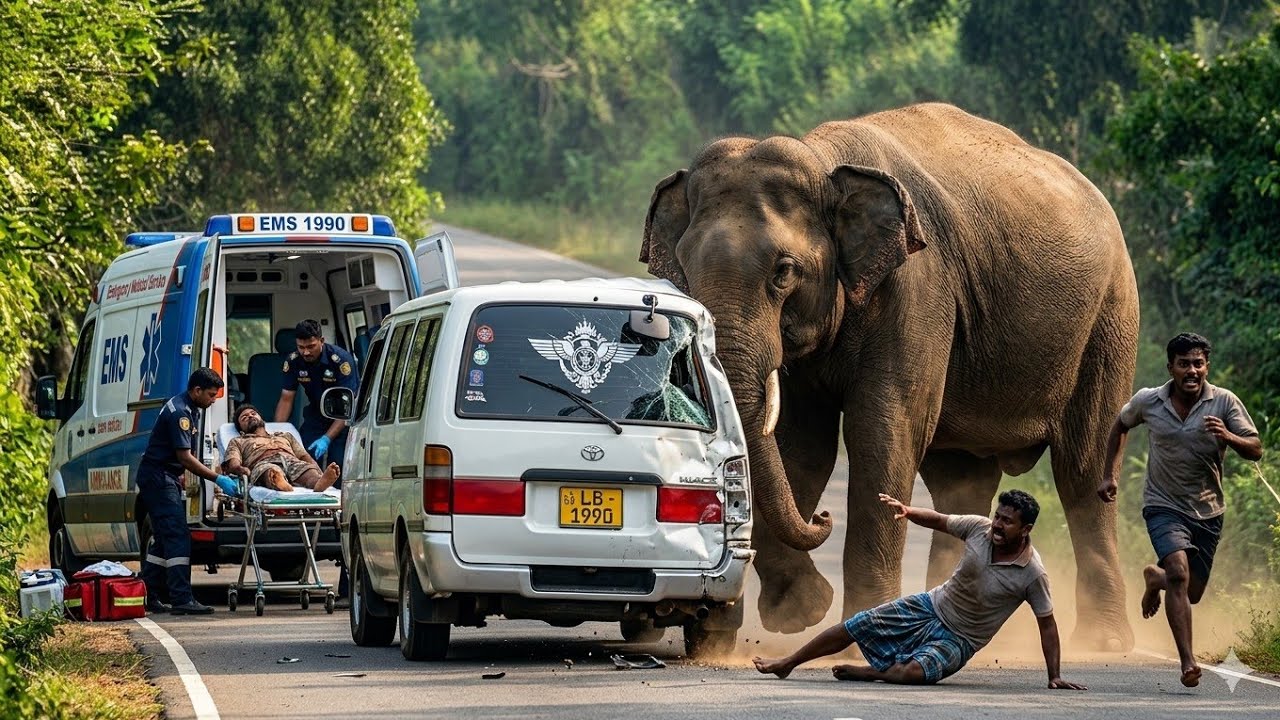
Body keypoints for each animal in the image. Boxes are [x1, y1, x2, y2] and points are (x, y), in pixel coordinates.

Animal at [641, 103, 1138, 650]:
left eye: (783, 271)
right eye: (683, 270)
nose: (822, 517)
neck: (824, 161)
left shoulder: (918, 289)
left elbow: (882, 429)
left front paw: (850, 616)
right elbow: (802, 445)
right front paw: (799, 612)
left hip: (1109, 319)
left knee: (1083, 469)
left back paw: (1105, 642)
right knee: (961, 480)